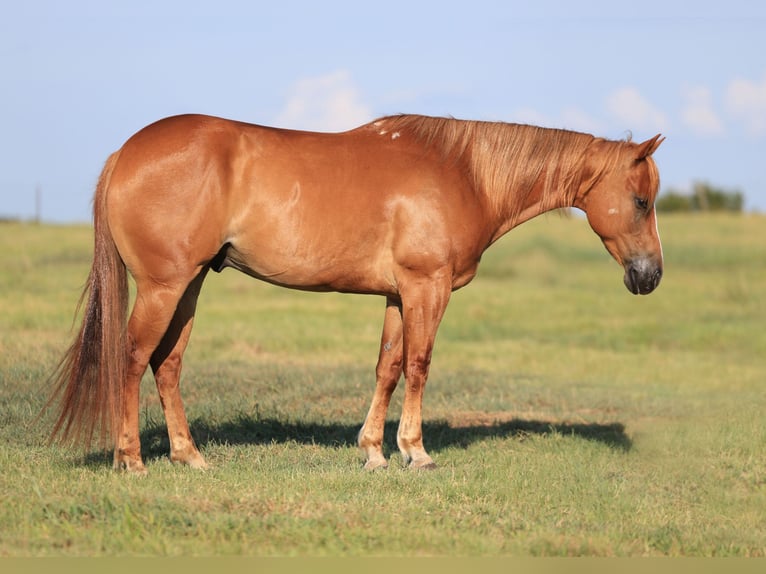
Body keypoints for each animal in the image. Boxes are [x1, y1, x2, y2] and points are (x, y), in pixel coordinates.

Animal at [47, 114, 664, 474]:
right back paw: (131, 460)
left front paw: (373, 451)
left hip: (191, 284)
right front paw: (415, 451)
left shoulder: (397, 295)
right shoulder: (426, 286)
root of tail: (125, 153)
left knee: (168, 364)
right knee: (132, 359)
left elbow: (387, 368)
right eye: (641, 200)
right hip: (164, 286)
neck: (463, 172)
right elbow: (418, 365)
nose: (651, 275)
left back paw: (189, 456)